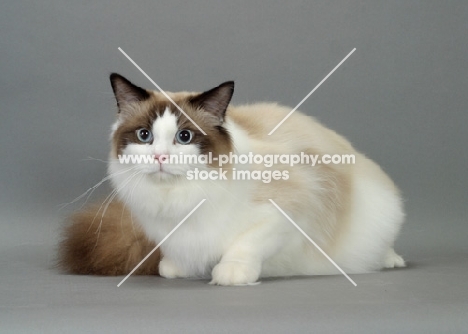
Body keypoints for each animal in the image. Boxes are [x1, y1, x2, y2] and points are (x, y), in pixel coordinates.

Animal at [58, 73, 404, 284]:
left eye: (184, 137)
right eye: (145, 136)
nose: (160, 157)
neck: (178, 198)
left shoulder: (288, 208)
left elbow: (245, 244)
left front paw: (230, 274)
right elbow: (174, 260)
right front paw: (178, 268)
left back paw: (391, 260)